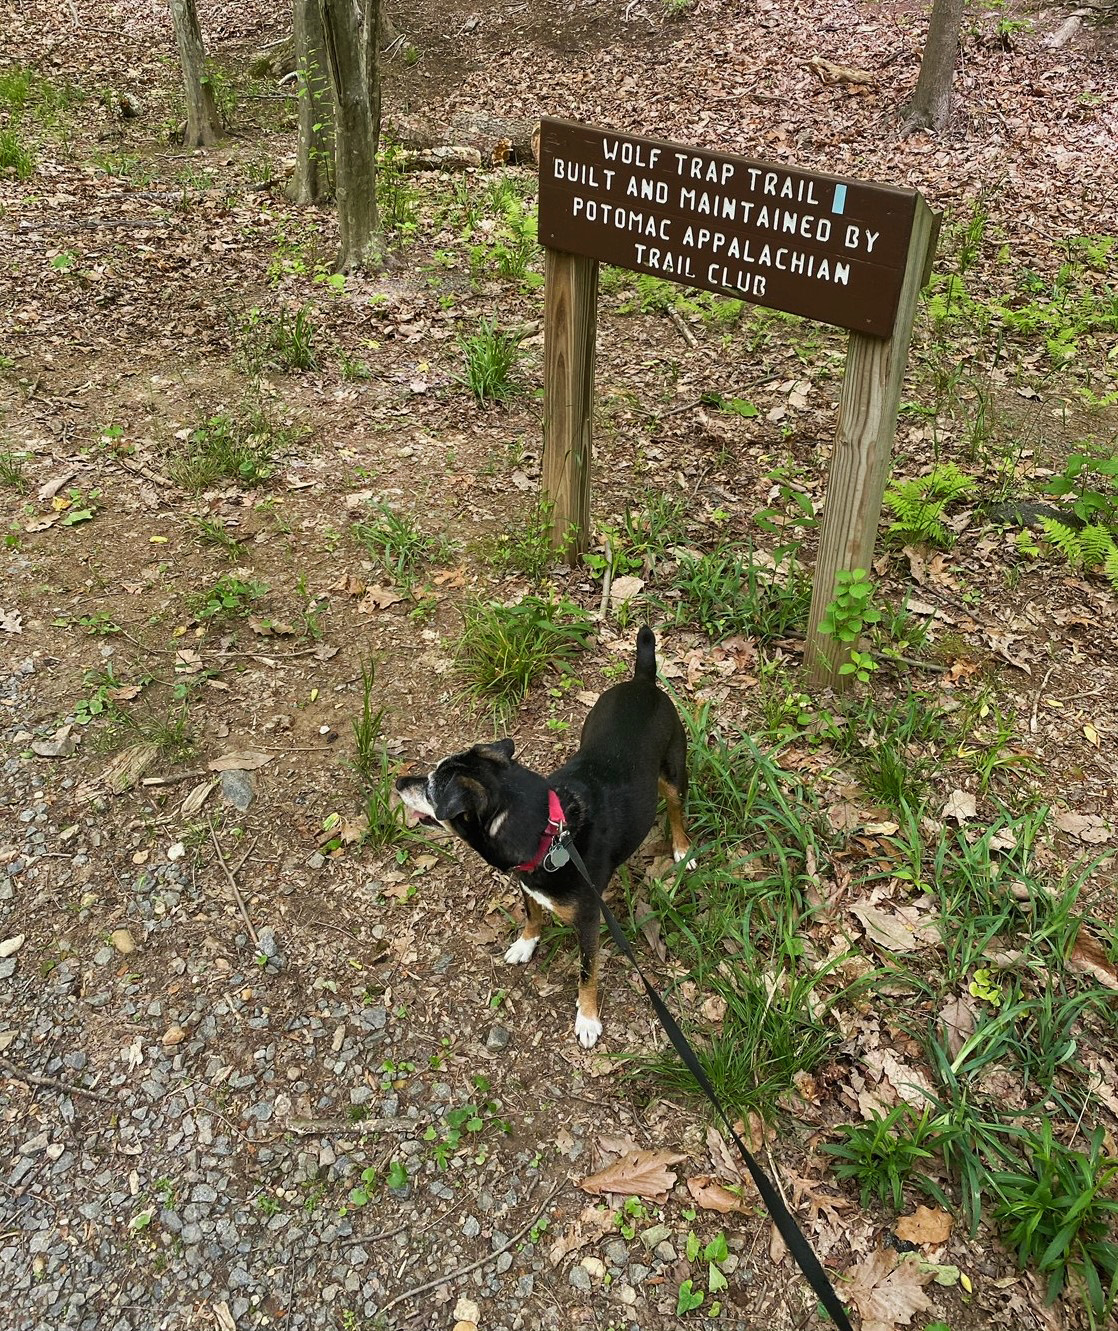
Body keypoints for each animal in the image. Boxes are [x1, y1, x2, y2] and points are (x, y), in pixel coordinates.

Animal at [393, 628, 692, 1043]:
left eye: (431, 787)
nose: (399, 781)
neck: (552, 836)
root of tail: (643, 680)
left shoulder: (589, 921)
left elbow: (587, 971)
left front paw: (587, 1018)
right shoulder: (526, 883)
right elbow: (532, 914)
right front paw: (525, 944)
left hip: (674, 774)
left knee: (677, 810)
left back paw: (681, 849)